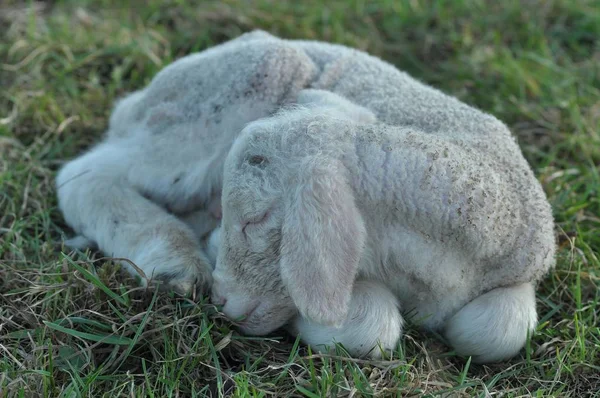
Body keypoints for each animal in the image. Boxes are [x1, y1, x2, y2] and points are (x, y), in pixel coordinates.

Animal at [57, 29, 556, 362]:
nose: (220, 300)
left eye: (254, 220)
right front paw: (311, 321)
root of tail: (138, 98)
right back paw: (173, 260)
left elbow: (500, 331)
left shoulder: (518, 274)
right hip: (234, 84)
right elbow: (372, 327)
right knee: (82, 175)